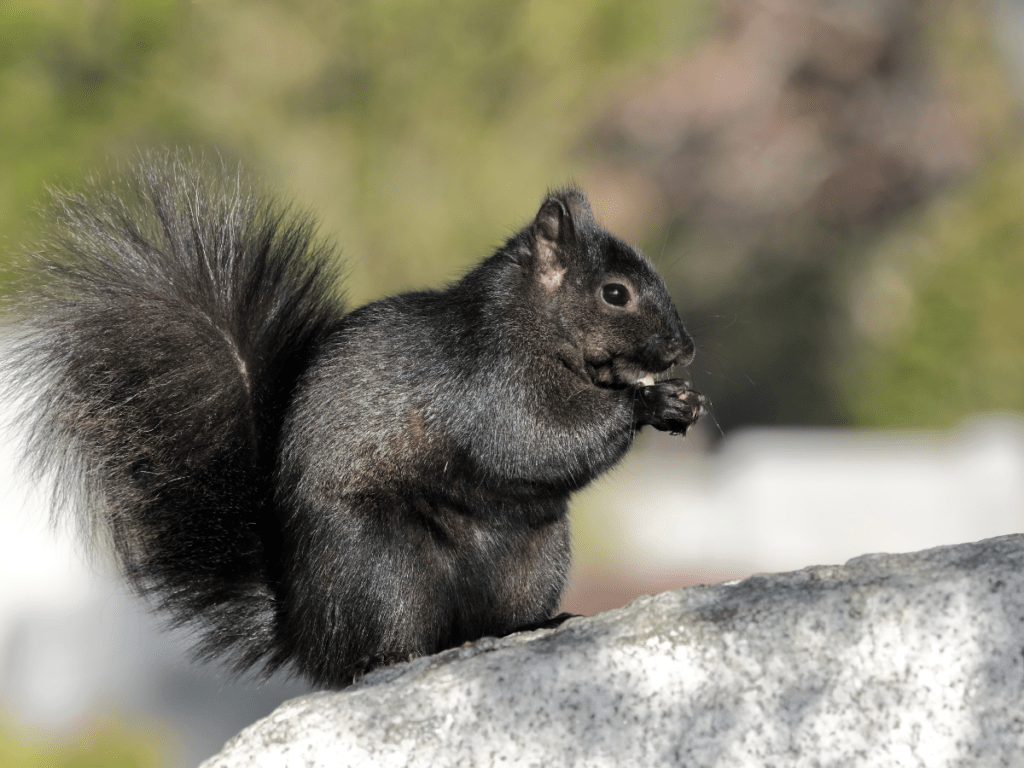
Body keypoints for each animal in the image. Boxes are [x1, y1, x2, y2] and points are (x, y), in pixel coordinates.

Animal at [6, 154, 704, 692]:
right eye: (615, 293)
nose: (685, 348)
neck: (529, 329)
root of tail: (306, 632)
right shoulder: (487, 388)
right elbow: (534, 442)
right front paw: (649, 404)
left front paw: (681, 402)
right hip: (383, 568)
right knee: (374, 650)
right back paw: (390, 658)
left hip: (535, 556)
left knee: (490, 622)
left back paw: (535, 625)